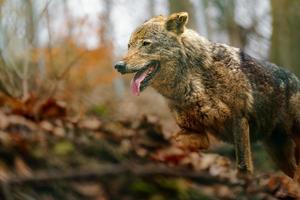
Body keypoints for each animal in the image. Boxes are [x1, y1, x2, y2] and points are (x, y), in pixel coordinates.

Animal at [113, 11, 300, 179]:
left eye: (146, 44)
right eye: (129, 45)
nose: (118, 65)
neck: (194, 82)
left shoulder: (239, 120)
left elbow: (243, 166)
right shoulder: (195, 132)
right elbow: (173, 140)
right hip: (279, 155)